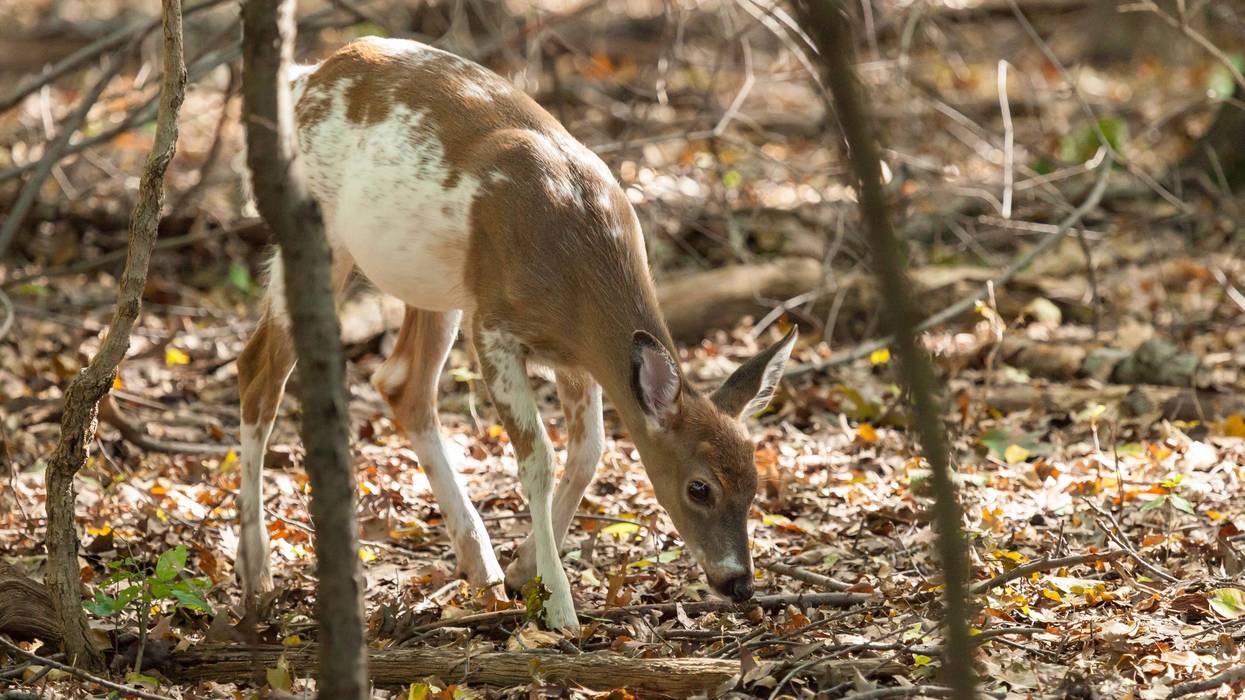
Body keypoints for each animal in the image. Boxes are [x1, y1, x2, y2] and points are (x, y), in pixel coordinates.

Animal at [236, 36, 798, 632]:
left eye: (754, 485)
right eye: (699, 487)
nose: (739, 583)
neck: (576, 263)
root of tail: (305, 77)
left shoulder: (576, 354)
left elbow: (589, 453)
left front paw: (523, 570)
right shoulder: (494, 325)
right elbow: (540, 459)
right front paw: (560, 605)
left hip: (436, 285)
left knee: (402, 383)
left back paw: (479, 564)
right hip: (325, 238)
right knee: (259, 371)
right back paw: (257, 575)